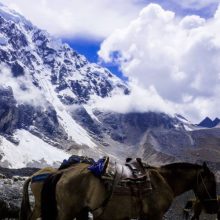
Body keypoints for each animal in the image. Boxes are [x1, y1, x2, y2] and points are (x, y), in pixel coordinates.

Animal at [40, 160, 218, 220]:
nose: (213, 208)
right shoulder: (155, 215)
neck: (165, 181)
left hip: (80, 212)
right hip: (67, 212)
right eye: (212, 183)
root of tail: (63, 172)